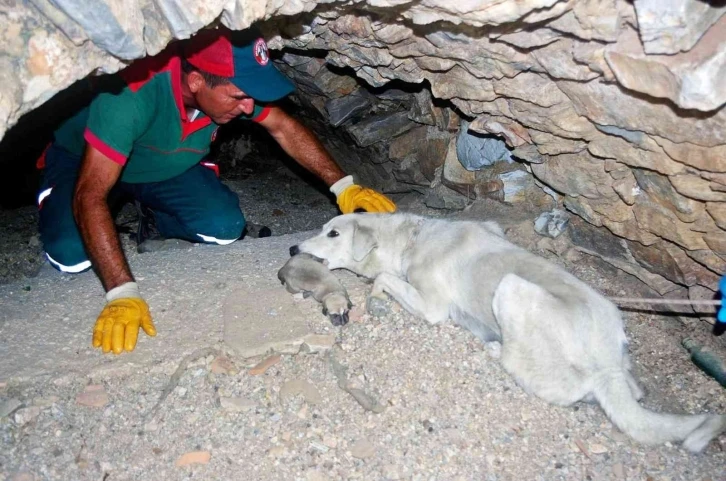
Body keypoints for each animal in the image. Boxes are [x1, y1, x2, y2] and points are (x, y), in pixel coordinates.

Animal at [292, 213, 726, 450]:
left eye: (333, 233)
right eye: (322, 228)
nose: (293, 249)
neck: (409, 240)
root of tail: (607, 363)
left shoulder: (432, 306)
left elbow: (383, 278)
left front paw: (376, 295)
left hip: (512, 289)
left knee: (555, 382)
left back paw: (496, 349)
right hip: (621, 353)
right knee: (631, 391)